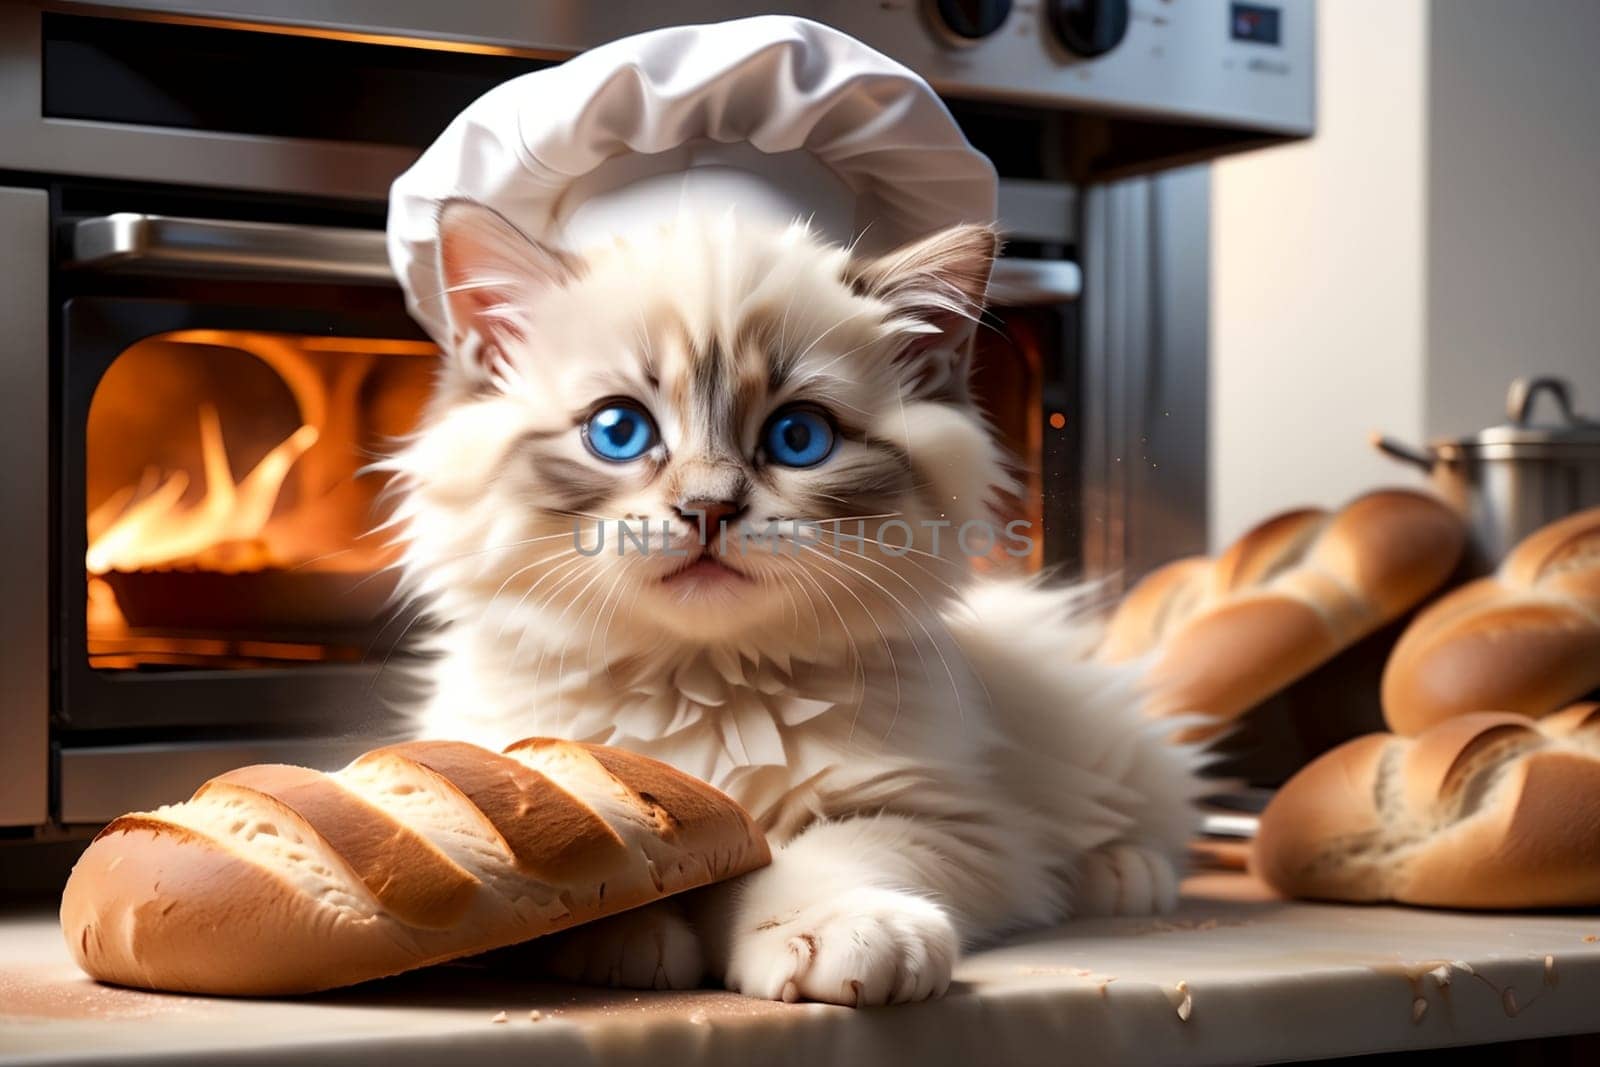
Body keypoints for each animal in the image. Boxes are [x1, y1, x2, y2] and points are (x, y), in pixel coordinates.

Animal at [384, 202, 1203, 1011]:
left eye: (798, 438)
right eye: (619, 431)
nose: (708, 508)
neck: (699, 684)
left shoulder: (948, 820)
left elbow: (827, 855)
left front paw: (835, 931)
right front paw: (626, 933)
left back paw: (1124, 876)